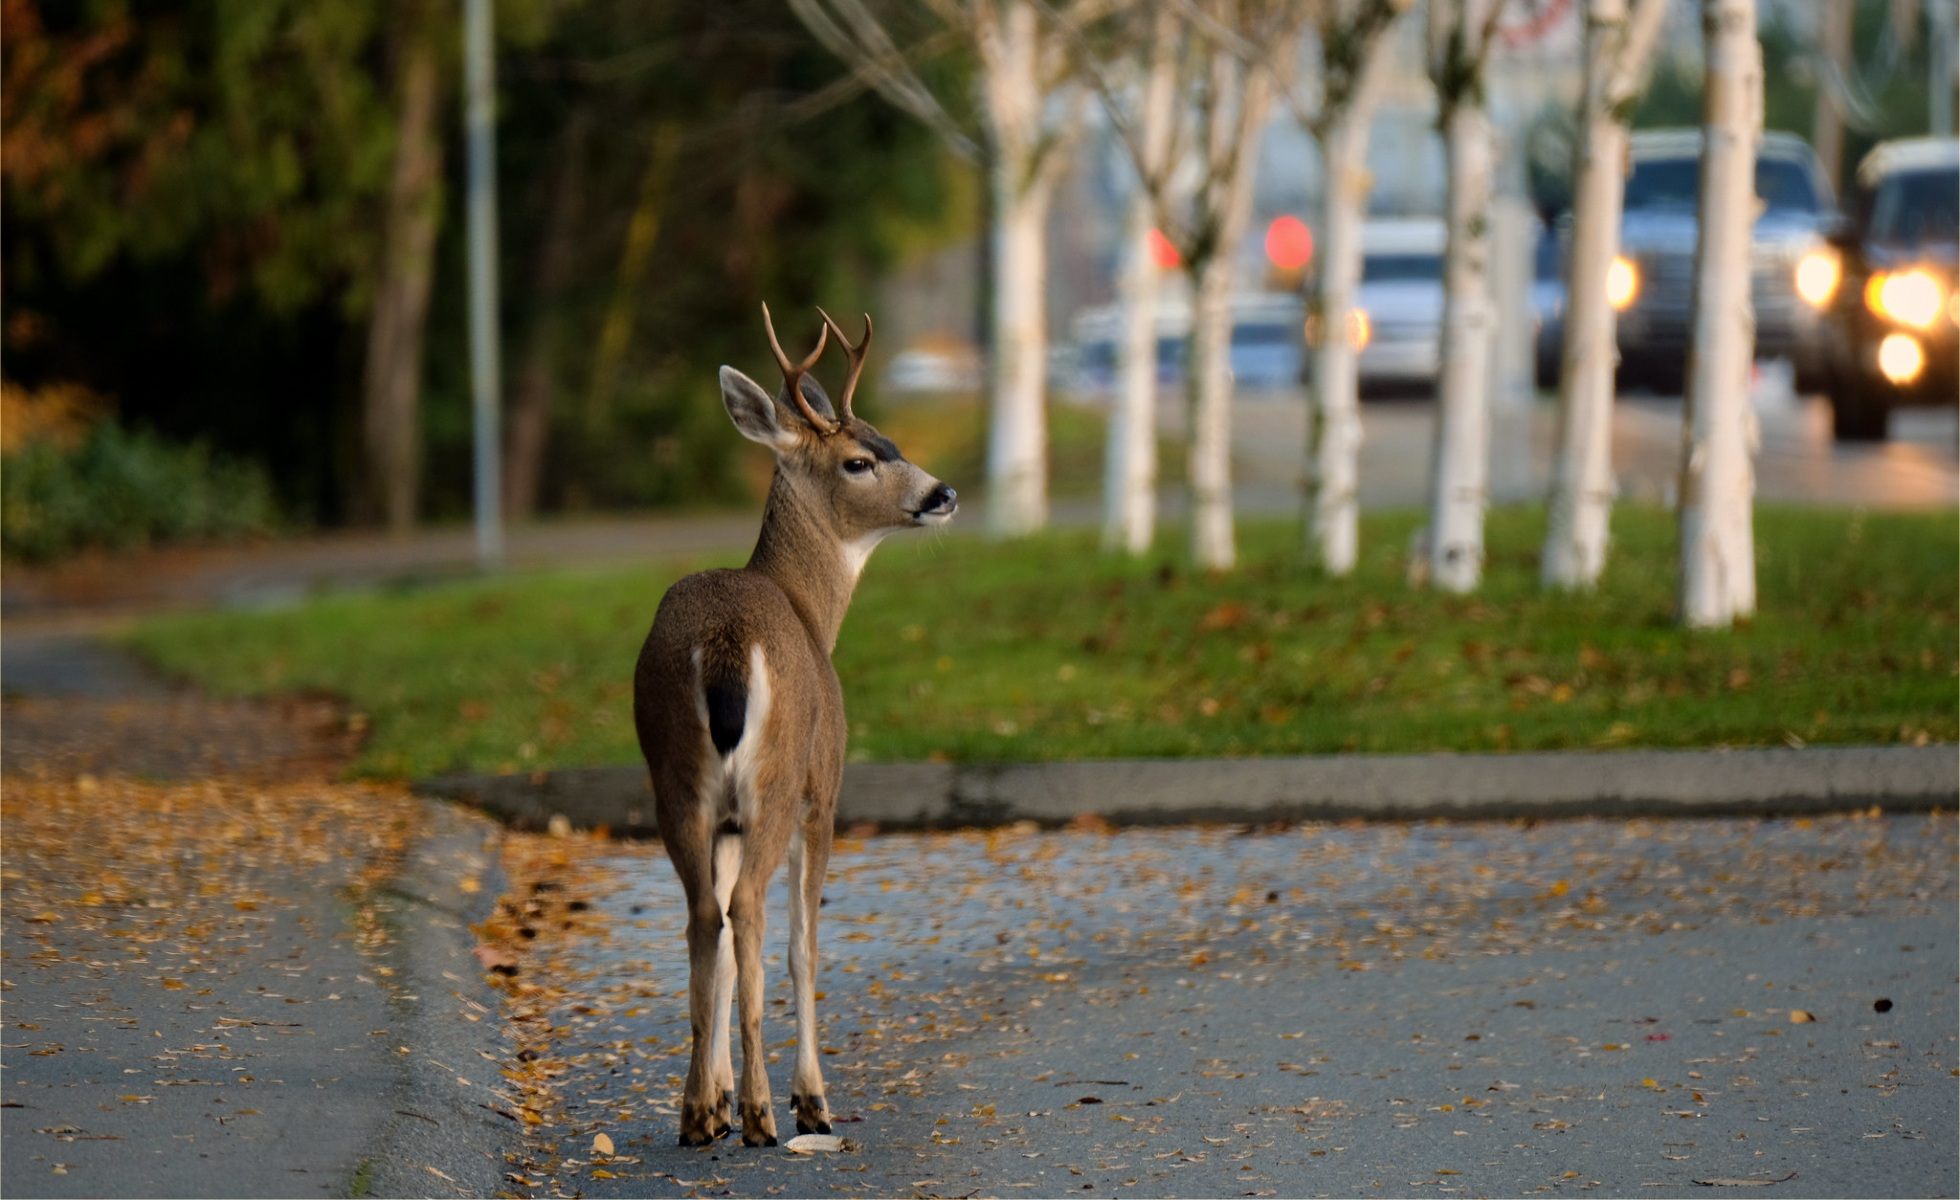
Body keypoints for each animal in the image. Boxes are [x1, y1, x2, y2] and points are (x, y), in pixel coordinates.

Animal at [635, 303, 956, 1145]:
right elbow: (804, 947)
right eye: (859, 460)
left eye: (890, 440)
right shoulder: (826, 788)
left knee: (703, 918)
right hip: (776, 781)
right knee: (747, 912)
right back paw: (762, 1113)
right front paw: (810, 1096)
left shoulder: (723, 816)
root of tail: (722, 645)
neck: (812, 614)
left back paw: (699, 1114)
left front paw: (712, 1097)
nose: (942, 492)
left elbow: (722, 945)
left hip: (676, 781)